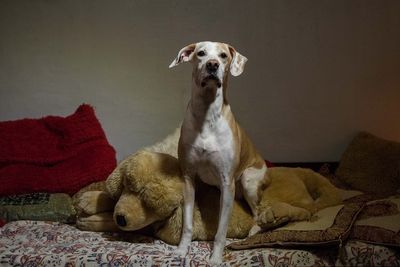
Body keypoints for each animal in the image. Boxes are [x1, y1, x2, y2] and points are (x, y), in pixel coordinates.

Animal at [169, 40, 268, 264]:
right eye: (201, 53)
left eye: (223, 56)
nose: (212, 65)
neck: (207, 115)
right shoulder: (188, 178)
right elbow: (187, 224)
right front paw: (182, 250)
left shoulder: (227, 183)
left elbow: (221, 230)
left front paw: (215, 257)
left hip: (248, 181)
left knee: (259, 212)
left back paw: (253, 233)